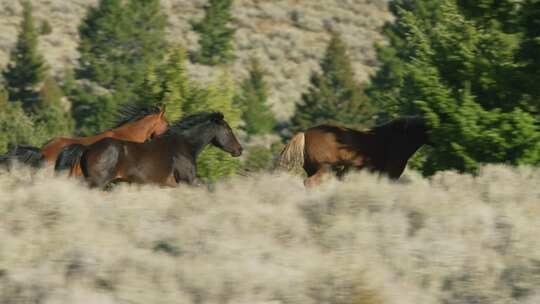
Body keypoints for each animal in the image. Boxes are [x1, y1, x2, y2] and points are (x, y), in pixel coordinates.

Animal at [53, 111, 243, 188]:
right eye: (228, 130)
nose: (239, 150)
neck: (185, 146)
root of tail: (87, 148)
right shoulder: (188, 181)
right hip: (97, 183)